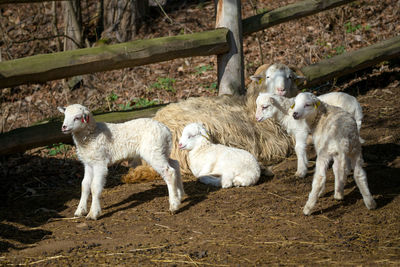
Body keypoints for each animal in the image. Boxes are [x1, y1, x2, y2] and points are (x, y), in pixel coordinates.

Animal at [56, 104, 184, 220]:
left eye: (77, 117)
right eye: (65, 115)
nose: (64, 127)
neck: (92, 134)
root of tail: (166, 130)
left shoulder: (99, 162)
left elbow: (95, 187)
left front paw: (93, 213)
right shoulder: (88, 163)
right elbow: (85, 185)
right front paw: (80, 211)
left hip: (154, 151)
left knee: (169, 172)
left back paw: (173, 206)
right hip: (162, 150)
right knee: (175, 164)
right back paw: (180, 195)